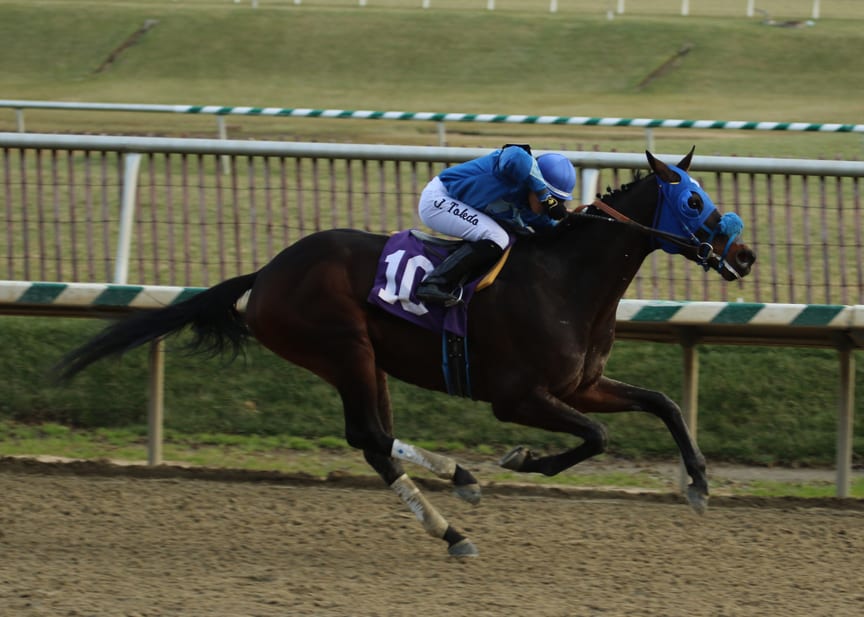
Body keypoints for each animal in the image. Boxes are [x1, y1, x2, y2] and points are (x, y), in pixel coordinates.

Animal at [57, 150, 752, 560]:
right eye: (693, 200)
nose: (744, 255)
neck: (564, 278)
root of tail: (267, 272)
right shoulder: (517, 397)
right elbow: (598, 437)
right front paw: (524, 460)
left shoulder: (580, 385)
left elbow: (662, 404)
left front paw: (698, 484)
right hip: (345, 348)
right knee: (369, 436)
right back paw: (455, 517)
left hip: (361, 359)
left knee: (375, 438)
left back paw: (457, 493)